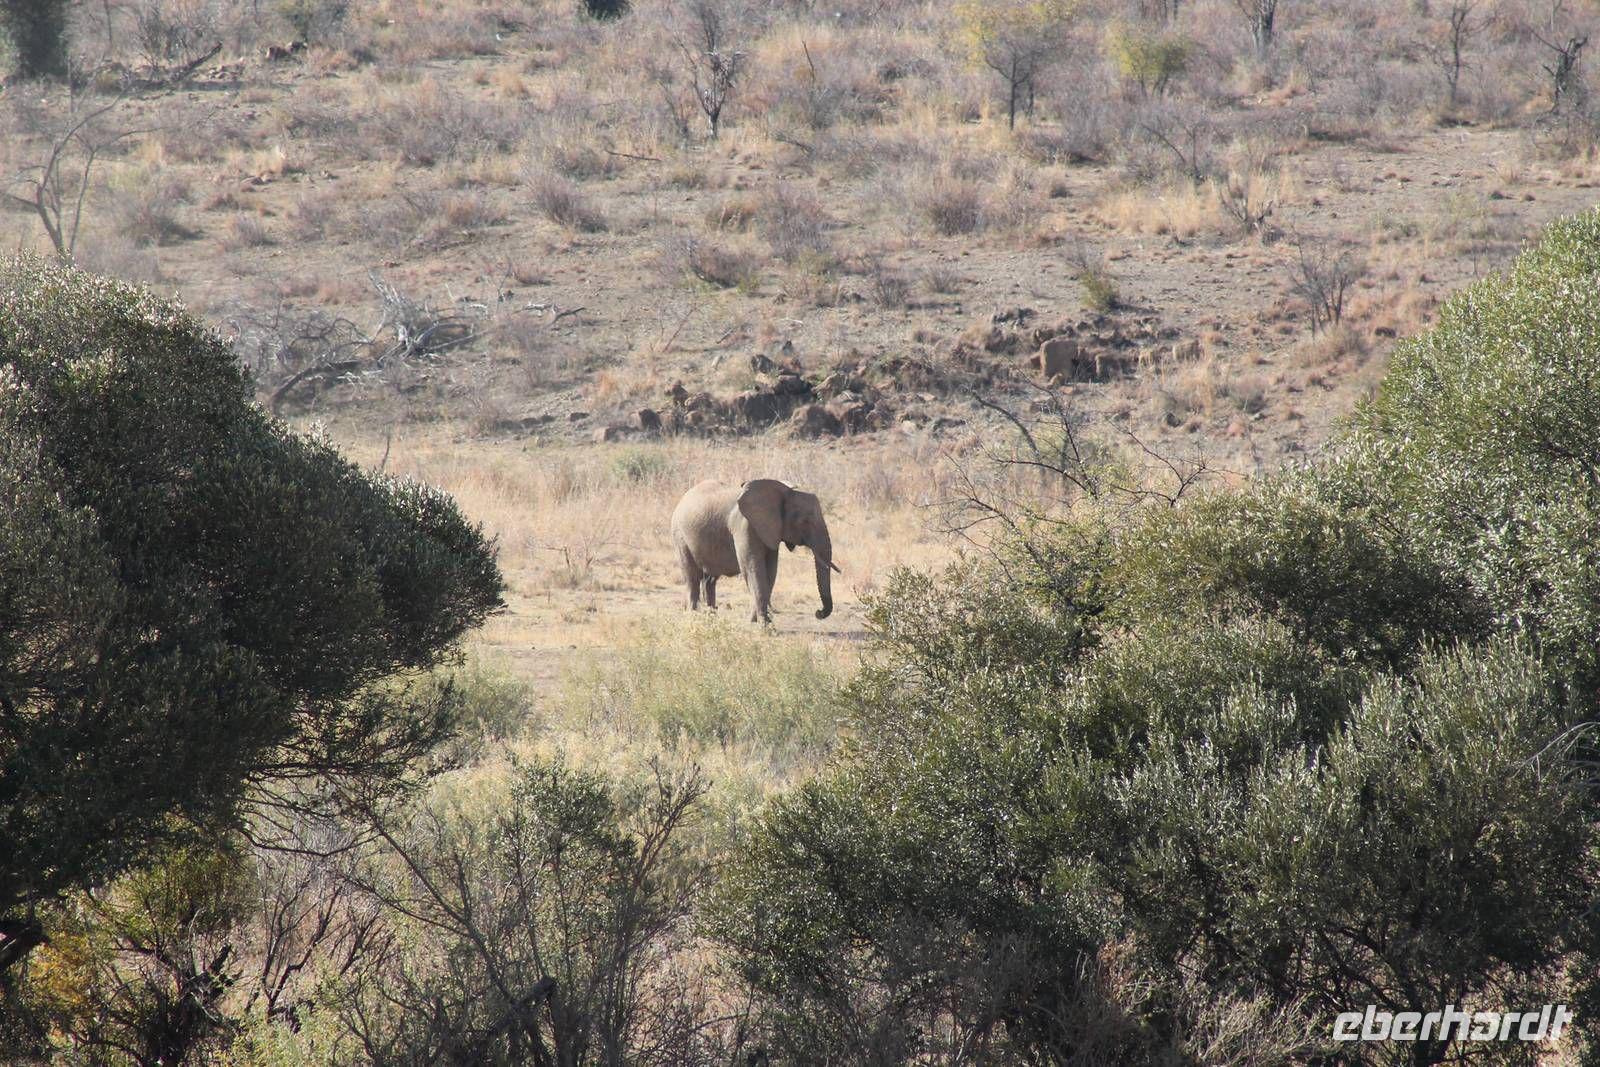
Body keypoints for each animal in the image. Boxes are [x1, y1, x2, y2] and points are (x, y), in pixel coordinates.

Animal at [670, 478, 839, 623]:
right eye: (805, 521)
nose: (818, 613)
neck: (783, 492)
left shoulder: (771, 530)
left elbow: (770, 571)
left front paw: (754, 621)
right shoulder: (744, 525)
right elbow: (753, 568)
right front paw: (766, 626)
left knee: (710, 579)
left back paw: (711, 617)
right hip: (680, 535)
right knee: (692, 577)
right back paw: (694, 616)